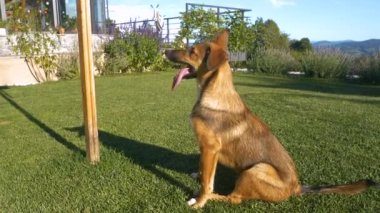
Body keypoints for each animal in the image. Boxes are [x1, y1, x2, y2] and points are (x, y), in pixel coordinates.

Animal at [165, 29, 378, 208]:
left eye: (192, 51)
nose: (165, 51)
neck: (212, 93)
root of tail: (296, 187)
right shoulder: (207, 151)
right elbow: (205, 174)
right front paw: (198, 176)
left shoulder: (210, 148)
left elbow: (207, 184)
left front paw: (200, 201)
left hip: (256, 169)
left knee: (234, 198)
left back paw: (208, 198)